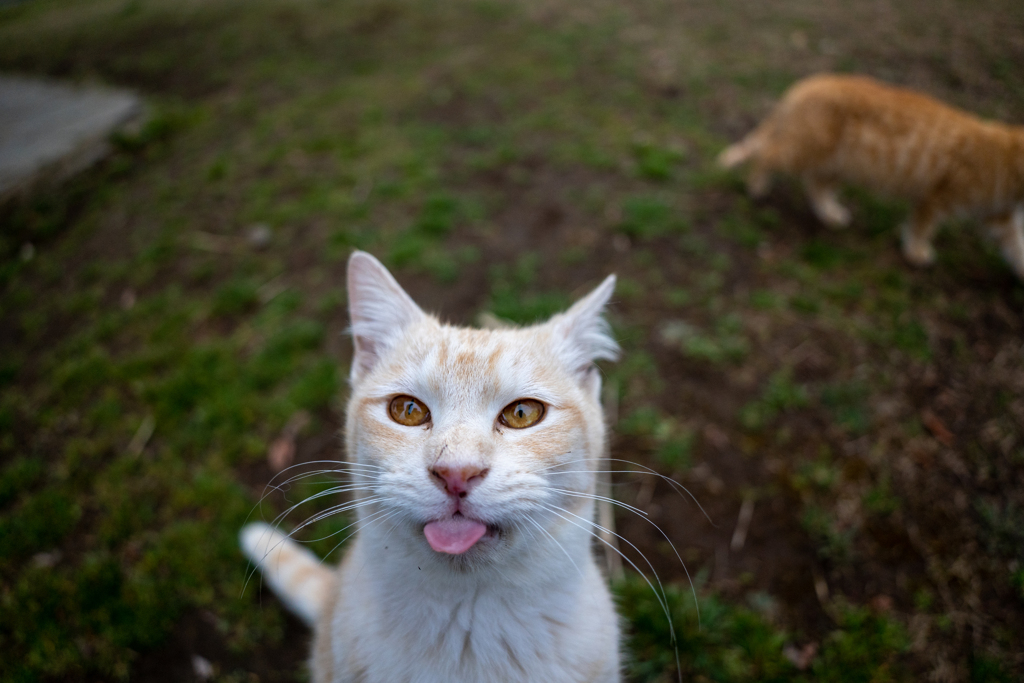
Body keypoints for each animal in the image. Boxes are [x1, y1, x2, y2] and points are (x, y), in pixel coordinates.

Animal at [716, 72, 1024, 280]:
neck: (1007, 159)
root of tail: (807, 84)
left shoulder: (999, 215)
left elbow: (1015, 244)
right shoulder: (936, 196)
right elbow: (921, 227)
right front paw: (916, 251)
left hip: (839, 163)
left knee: (814, 183)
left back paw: (830, 213)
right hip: (806, 150)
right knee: (766, 154)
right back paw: (757, 185)